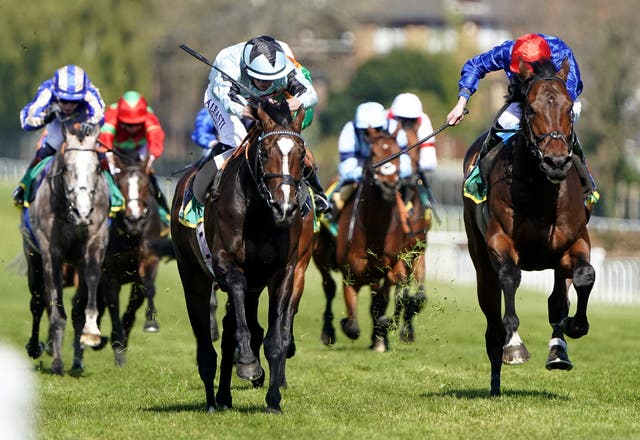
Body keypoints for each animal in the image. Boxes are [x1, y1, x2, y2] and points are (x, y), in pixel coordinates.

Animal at [21, 118, 109, 372]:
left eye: (97, 168)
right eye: (67, 168)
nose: (83, 212)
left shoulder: (92, 247)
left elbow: (86, 295)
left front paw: (90, 334)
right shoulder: (52, 253)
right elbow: (54, 306)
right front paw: (58, 362)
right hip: (32, 257)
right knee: (38, 300)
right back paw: (37, 347)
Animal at [172, 101, 316, 414]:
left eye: (300, 154)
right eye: (264, 152)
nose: (284, 207)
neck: (260, 215)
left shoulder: (284, 271)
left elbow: (274, 337)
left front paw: (273, 400)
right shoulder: (226, 263)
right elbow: (237, 295)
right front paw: (249, 365)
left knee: (236, 330)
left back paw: (225, 396)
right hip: (193, 277)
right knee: (206, 342)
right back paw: (212, 399)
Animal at [312, 126, 408, 350]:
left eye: (398, 152)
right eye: (373, 153)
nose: (389, 185)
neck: (375, 228)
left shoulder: (391, 262)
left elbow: (396, 290)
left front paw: (384, 329)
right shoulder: (351, 274)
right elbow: (353, 325)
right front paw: (346, 324)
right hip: (320, 254)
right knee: (329, 287)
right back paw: (328, 332)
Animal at [464, 57, 596, 396]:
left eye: (568, 108)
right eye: (531, 110)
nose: (556, 162)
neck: (541, 190)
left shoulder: (574, 242)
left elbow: (584, 276)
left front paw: (576, 326)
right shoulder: (499, 240)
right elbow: (510, 277)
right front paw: (514, 345)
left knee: (557, 300)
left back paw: (558, 350)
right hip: (480, 261)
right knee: (491, 319)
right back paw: (496, 381)